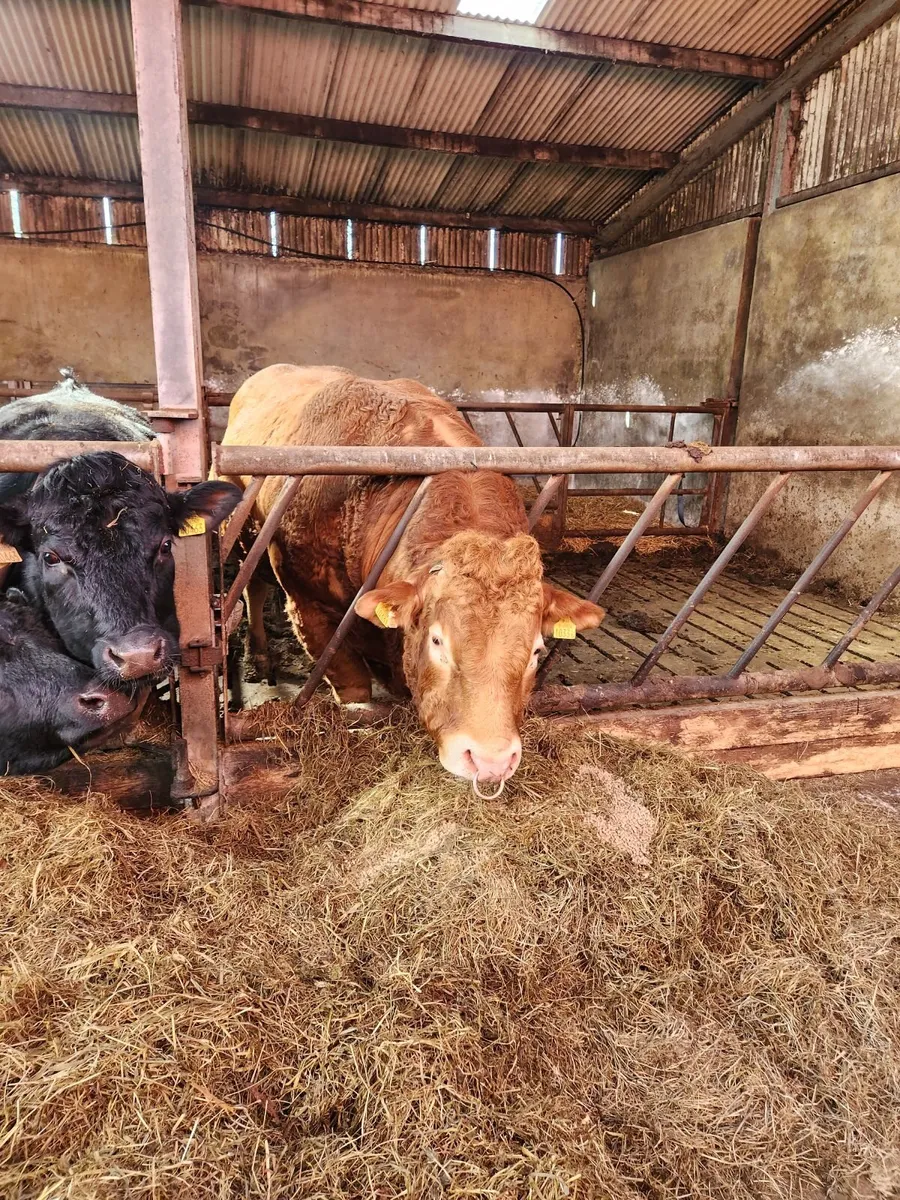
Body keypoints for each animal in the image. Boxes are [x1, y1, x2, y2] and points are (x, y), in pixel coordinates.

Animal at [221, 364, 605, 787]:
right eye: (437, 641)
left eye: (537, 650)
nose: (490, 761)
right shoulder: (309, 607)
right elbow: (354, 689)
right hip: (247, 541)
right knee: (253, 589)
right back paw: (259, 656)